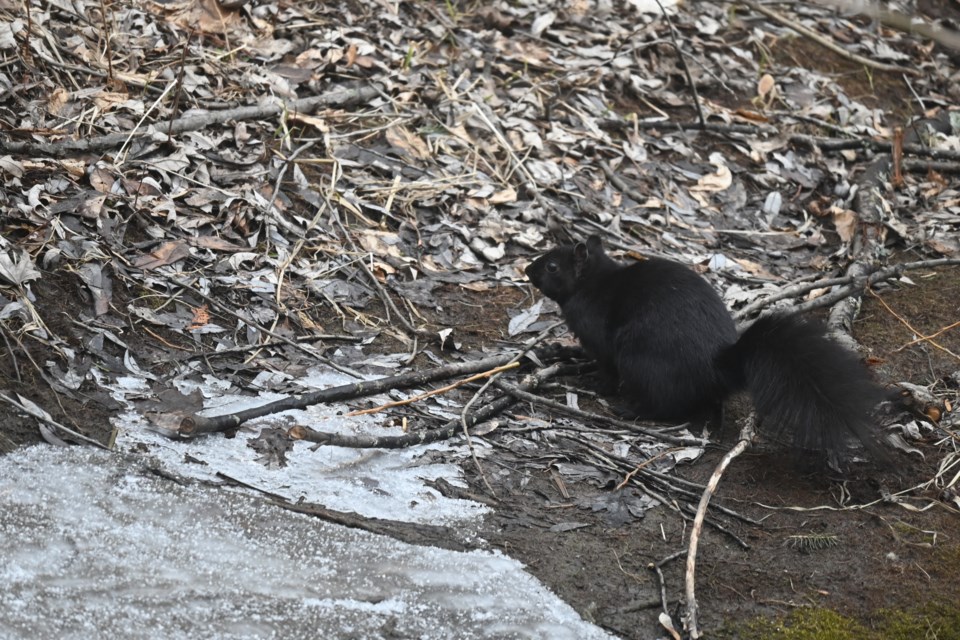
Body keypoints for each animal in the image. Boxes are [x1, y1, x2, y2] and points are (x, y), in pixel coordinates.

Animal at [524, 235, 884, 456]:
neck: (593, 283)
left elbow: (606, 370)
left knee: (663, 404)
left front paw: (594, 383)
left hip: (639, 360)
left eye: (552, 266)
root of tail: (718, 368)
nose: (527, 268)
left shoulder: (598, 335)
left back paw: (630, 409)